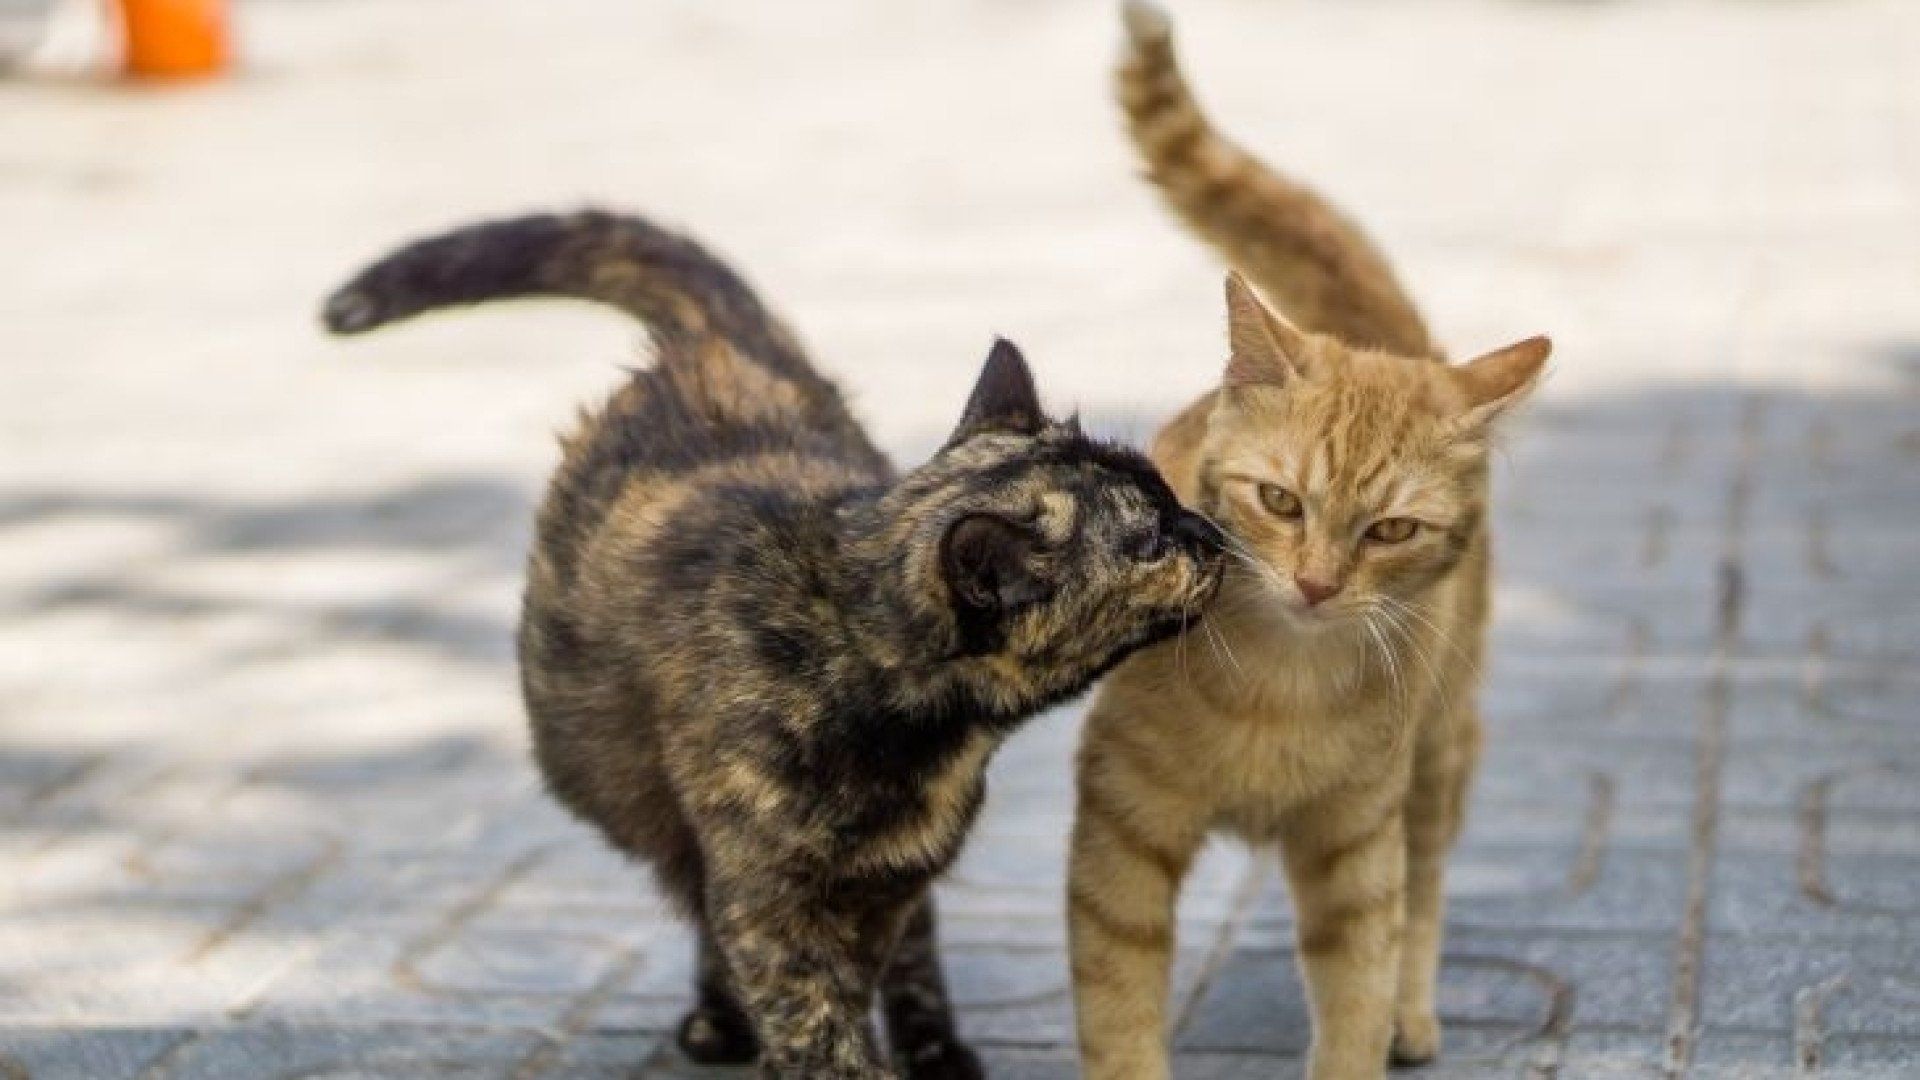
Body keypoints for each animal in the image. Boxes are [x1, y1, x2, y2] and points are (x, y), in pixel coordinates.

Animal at [322, 210, 1221, 1076]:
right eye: (1149, 543)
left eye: (1165, 490)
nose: (1208, 529)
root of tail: (715, 339)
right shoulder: (768, 895)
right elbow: (807, 1009)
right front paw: (829, 1060)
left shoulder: (884, 882)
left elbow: (860, 972)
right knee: (700, 902)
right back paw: (725, 1023)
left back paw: (933, 1046)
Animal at [1075, 8, 1551, 1076]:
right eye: (1282, 503)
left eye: (1392, 530)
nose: (1320, 585)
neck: (1276, 685)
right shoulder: (1122, 832)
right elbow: (1118, 1005)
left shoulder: (1352, 844)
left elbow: (1360, 983)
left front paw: (1375, 1024)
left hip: (1437, 755)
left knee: (1425, 890)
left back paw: (1416, 1015)